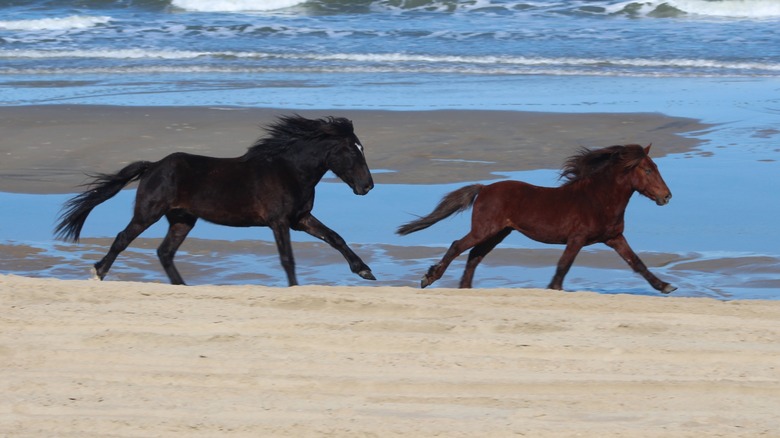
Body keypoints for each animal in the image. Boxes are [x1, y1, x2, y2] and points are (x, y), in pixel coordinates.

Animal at [54, 114, 374, 286]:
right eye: (352, 150)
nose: (368, 186)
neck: (289, 170)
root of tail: (154, 165)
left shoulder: (300, 219)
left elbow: (335, 238)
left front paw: (365, 271)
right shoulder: (279, 222)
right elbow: (288, 259)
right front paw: (295, 287)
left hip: (182, 219)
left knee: (165, 252)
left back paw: (183, 286)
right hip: (148, 213)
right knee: (123, 239)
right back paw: (98, 273)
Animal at [396, 145, 676, 294]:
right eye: (648, 169)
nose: (667, 196)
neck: (598, 199)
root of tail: (484, 188)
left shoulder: (614, 237)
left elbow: (637, 262)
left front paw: (665, 286)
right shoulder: (577, 238)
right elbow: (563, 265)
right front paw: (554, 289)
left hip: (499, 233)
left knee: (474, 255)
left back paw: (465, 288)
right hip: (485, 229)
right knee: (458, 246)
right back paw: (429, 278)